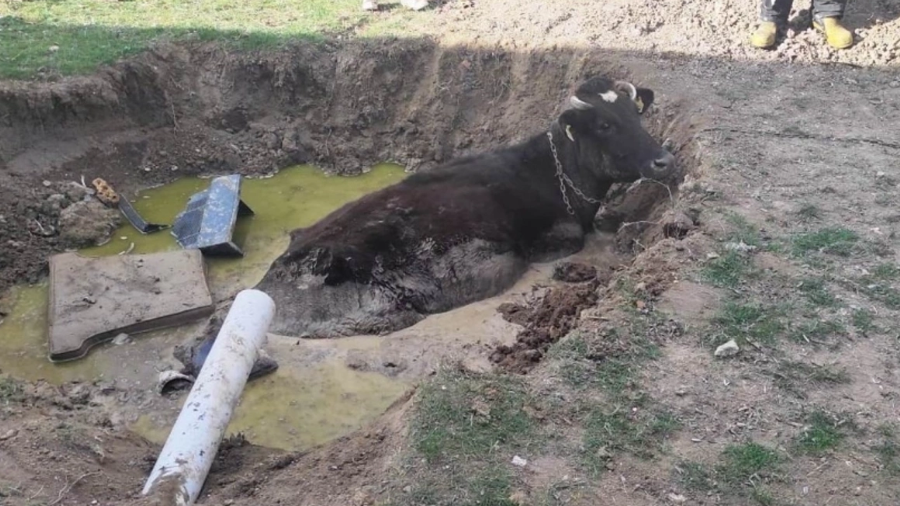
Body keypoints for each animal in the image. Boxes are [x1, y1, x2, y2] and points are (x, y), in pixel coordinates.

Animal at [253, 76, 676, 340]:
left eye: (636, 113)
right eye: (605, 124)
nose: (664, 161)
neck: (553, 174)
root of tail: (271, 280)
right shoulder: (556, 237)